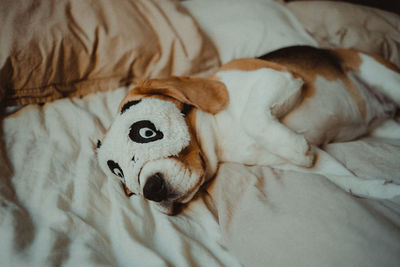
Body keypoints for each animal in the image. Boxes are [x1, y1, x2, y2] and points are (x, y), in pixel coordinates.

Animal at [97, 45, 400, 215]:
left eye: (145, 132)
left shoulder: (279, 77)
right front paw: (386, 191)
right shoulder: (309, 162)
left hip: (383, 76)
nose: (151, 189)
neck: (220, 134)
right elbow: (347, 182)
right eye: (118, 171)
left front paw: (298, 150)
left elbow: (251, 118)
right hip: (385, 129)